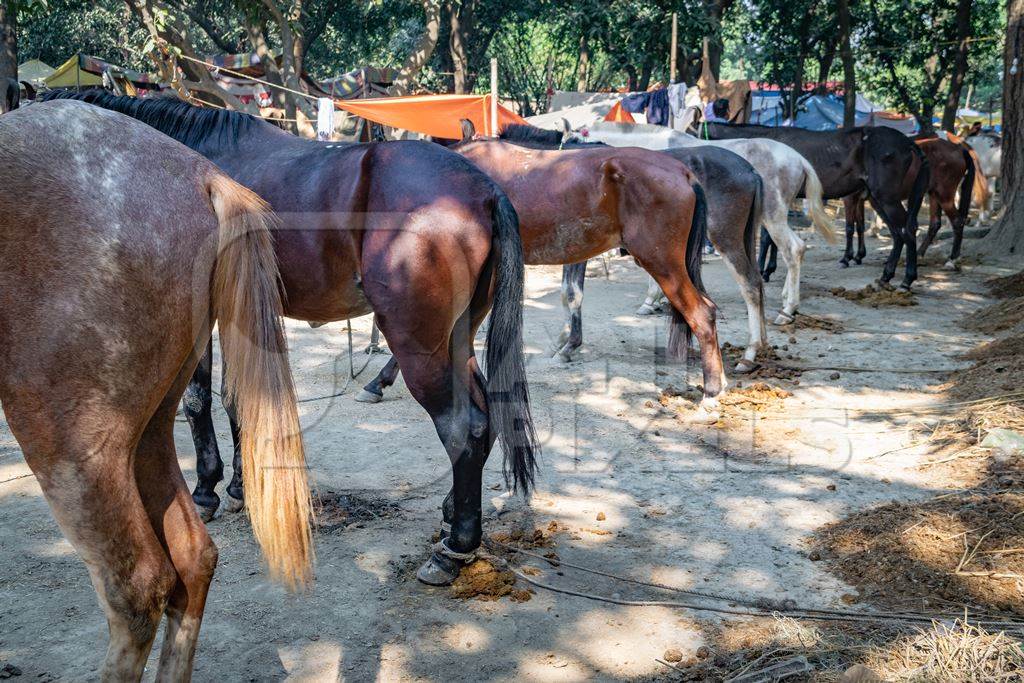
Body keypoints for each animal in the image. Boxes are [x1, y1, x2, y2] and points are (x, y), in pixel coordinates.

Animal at [46, 87, 544, 589]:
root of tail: (484, 190)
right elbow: (236, 399)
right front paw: (238, 487)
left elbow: (199, 399)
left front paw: (206, 491)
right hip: (455, 337)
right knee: (483, 416)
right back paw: (450, 517)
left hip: (418, 344)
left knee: (463, 427)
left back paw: (455, 547)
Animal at [573, 116, 835, 325]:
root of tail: (798, 158)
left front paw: (651, 300)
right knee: (797, 248)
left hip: (773, 215)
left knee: (793, 249)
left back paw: (788, 309)